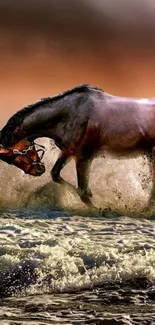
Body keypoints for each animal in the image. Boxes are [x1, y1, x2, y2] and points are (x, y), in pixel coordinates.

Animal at [0, 82, 155, 206]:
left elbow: (83, 191)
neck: (71, 114)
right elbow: (55, 174)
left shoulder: (83, 158)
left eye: (16, 155)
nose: (38, 170)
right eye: (10, 161)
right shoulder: (68, 153)